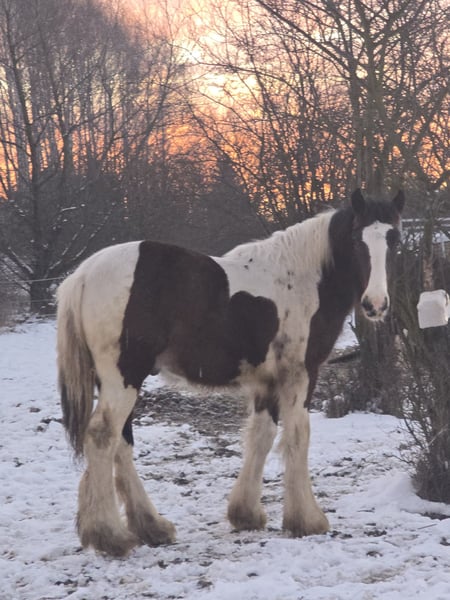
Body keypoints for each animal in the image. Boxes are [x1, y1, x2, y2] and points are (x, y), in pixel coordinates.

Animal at [56, 188, 404, 556]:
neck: (307, 278)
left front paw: (246, 514)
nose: (375, 304)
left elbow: (261, 436)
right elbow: (298, 436)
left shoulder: (267, 382)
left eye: (394, 240)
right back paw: (110, 535)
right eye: (356, 239)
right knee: (102, 437)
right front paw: (307, 520)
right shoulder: (300, 375)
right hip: (124, 378)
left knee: (120, 442)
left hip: (119, 381)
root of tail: (83, 274)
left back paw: (151, 527)